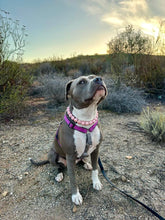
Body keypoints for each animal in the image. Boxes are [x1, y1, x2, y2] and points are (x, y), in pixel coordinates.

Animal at [30, 75, 107, 205]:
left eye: (93, 76)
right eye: (82, 82)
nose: (99, 79)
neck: (86, 119)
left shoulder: (96, 150)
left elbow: (96, 168)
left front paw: (96, 182)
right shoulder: (70, 156)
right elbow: (73, 178)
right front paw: (76, 195)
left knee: (81, 160)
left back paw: (86, 164)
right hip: (53, 154)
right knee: (59, 167)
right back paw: (59, 175)